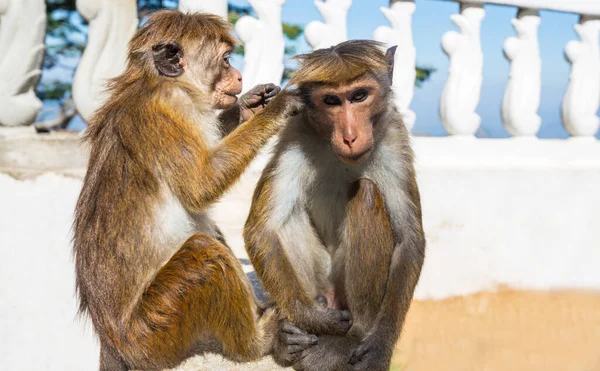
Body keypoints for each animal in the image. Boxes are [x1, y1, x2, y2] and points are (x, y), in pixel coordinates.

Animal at [244, 39, 426, 370]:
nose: (350, 136)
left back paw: (350, 339)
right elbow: (261, 229)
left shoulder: (394, 140)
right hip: (318, 281)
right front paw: (314, 320)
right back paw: (288, 338)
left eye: (359, 96)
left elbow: (409, 239)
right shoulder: (295, 136)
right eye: (331, 101)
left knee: (366, 193)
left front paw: (380, 346)